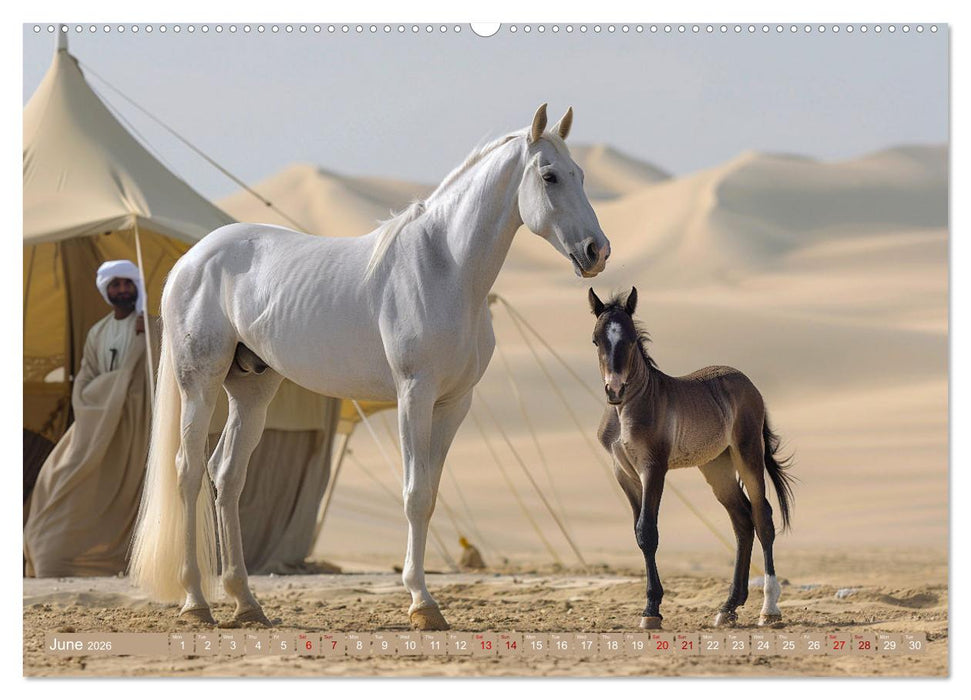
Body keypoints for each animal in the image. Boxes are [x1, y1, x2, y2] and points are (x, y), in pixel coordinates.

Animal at [129, 104, 610, 631]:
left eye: (581, 174)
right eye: (549, 176)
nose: (597, 252)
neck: (446, 270)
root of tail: (191, 260)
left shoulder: (454, 404)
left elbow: (430, 495)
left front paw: (425, 599)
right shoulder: (413, 396)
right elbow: (415, 494)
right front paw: (422, 603)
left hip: (252, 389)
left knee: (228, 475)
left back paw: (246, 602)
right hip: (200, 384)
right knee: (189, 472)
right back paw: (197, 602)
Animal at [588, 287, 795, 629]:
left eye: (631, 339)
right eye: (596, 340)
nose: (614, 390)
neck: (626, 411)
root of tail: (747, 382)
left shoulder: (653, 468)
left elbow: (648, 532)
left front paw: (651, 611)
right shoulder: (624, 473)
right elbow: (638, 532)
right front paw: (651, 608)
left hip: (747, 452)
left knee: (762, 517)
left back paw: (769, 609)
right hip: (716, 466)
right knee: (742, 521)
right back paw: (729, 607)